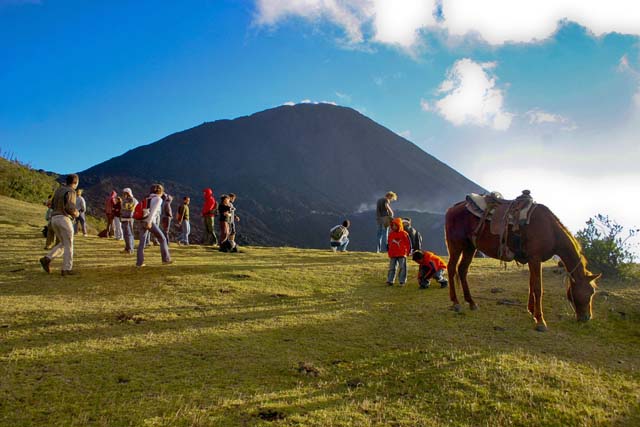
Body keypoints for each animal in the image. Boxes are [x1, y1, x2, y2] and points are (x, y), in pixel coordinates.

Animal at [444, 201, 600, 332]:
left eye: (592, 292)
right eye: (588, 292)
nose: (587, 318)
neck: (550, 229)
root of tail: (452, 208)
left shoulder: (532, 259)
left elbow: (531, 284)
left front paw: (532, 311)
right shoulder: (535, 259)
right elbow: (538, 288)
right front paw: (540, 321)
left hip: (470, 247)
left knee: (462, 270)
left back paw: (471, 302)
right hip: (456, 245)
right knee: (451, 268)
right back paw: (456, 303)